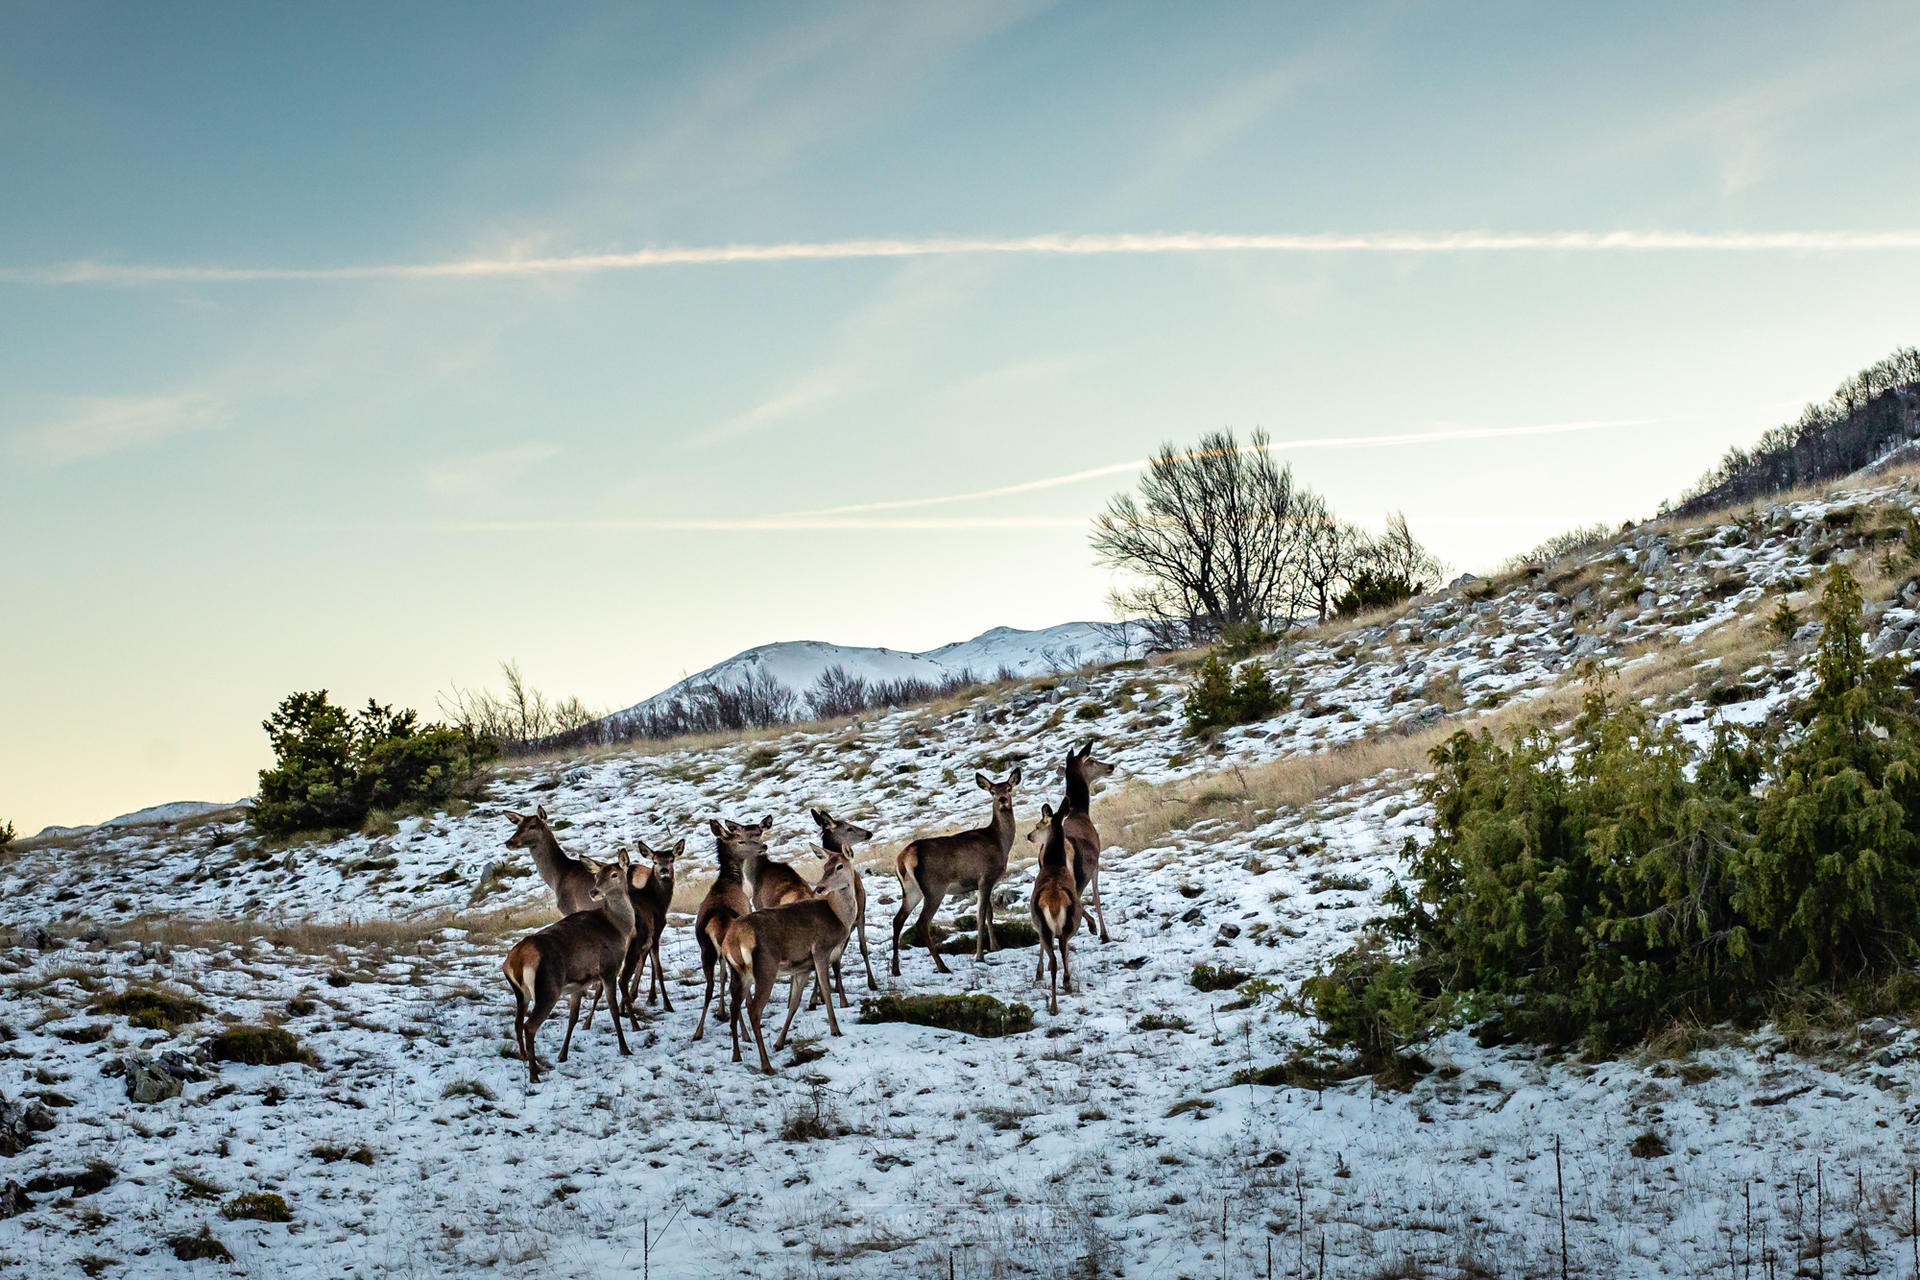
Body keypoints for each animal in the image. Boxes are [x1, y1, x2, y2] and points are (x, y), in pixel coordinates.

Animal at [501, 851, 635, 1084]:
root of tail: (516, 960)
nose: (594, 891)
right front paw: (624, 1048)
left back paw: (527, 1060)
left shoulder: (578, 984)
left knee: (517, 1023)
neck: (619, 928)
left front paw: (562, 1055)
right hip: (548, 989)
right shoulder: (609, 968)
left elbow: (573, 1018)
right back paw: (535, 1075)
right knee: (529, 1026)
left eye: (614, 874)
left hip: (521, 993)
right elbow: (613, 1009)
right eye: (597, 876)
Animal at [691, 819, 756, 1043]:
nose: (763, 846)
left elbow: (721, 976)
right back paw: (745, 1033)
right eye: (741, 839)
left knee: (709, 986)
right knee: (734, 987)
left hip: (705, 949)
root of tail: (716, 923)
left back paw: (698, 1032)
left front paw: (720, 1012)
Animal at [721, 854, 859, 1074]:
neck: (838, 918)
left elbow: (794, 1004)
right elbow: (826, 991)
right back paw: (766, 1065)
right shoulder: (820, 950)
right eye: (825, 866)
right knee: (754, 1011)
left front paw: (779, 1043)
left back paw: (736, 1055)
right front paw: (835, 1030)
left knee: (734, 1005)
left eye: (839, 866)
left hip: (739, 973)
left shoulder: (802, 968)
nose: (820, 887)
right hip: (766, 968)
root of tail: (732, 940)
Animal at [890, 768, 1021, 977]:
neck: (1000, 843)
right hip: (934, 888)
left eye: (1008, 788)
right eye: (992, 791)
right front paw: (980, 956)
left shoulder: (982, 883)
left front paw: (995, 947)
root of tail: (904, 857)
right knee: (921, 922)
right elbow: (980, 916)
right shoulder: (985, 877)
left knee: (897, 920)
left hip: (911, 890)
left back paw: (895, 969)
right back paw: (942, 966)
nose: (1002, 800)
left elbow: (989, 914)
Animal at [1029, 804, 1082, 1015]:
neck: (1054, 863)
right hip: (1068, 922)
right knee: (1062, 951)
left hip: (1045, 925)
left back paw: (1053, 1004)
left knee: (1055, 960)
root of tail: (1052, 903)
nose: (1029, 835)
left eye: (1038, 825)